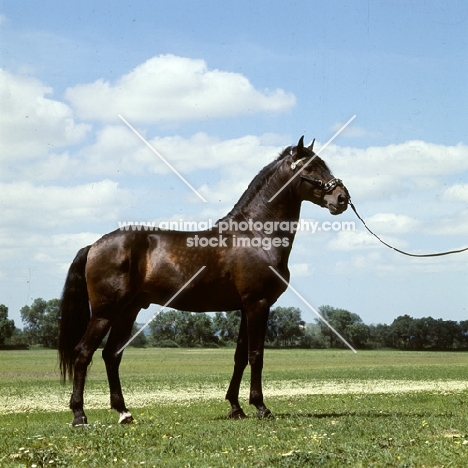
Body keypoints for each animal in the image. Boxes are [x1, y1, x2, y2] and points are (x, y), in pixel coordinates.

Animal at [57, 134, 348, 424]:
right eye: (310, 168)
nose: (342, 197)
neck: (256, 235)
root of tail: (94, 245)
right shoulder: (258, 304)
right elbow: (256, 355)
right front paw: (260, 406)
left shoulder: (245, 308)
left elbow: (240, 356)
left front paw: (235, 407)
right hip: (105, 312)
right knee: (83, 354)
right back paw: (79, 415)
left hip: (128, 311)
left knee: (111, 355)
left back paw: (123, 412)